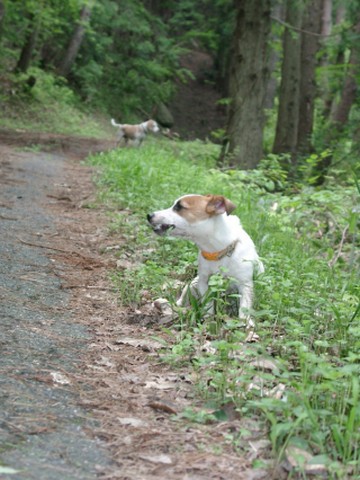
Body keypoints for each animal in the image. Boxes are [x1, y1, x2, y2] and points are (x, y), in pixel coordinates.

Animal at [147, 193, 264, 328]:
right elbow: (208, 304)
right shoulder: (203, 282)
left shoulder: (245, 284)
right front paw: (208, 319)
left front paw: (247, 322)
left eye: (179, 207)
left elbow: (245, 307)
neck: (218, 252)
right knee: (182, 299)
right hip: (192, 284)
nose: (149, 215)